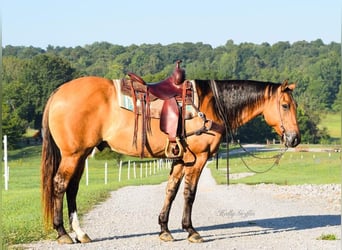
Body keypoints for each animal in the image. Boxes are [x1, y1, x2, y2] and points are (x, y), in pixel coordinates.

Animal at [41, 62, 300, 244]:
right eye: (285, 105)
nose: (295, 138)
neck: (212, 104)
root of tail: (58, 92)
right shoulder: (198, 159)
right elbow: (189, 193)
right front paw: (191, 230)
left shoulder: (180, 159)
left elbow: (171, 191)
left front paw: (164, 230)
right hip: (73, 154)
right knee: (60, 185)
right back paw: (63, 234)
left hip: (81, 154)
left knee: (72, 189)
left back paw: (80, 233)